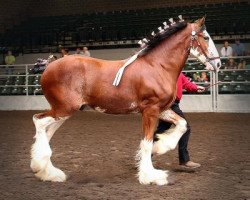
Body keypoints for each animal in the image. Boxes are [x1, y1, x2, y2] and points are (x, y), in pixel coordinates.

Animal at [30, 17, 221, 186]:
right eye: (206, 37)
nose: (218, 64)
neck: (157, 66)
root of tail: (48, 66)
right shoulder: (150, 110)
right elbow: (147, 142)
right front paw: (150, 176)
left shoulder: (162, 109)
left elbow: (182, 124)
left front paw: (160, 147)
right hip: (64, 109)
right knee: (38, 121)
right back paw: (43, 168)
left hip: (64, 112)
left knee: (47, 133)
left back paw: (48, 172)